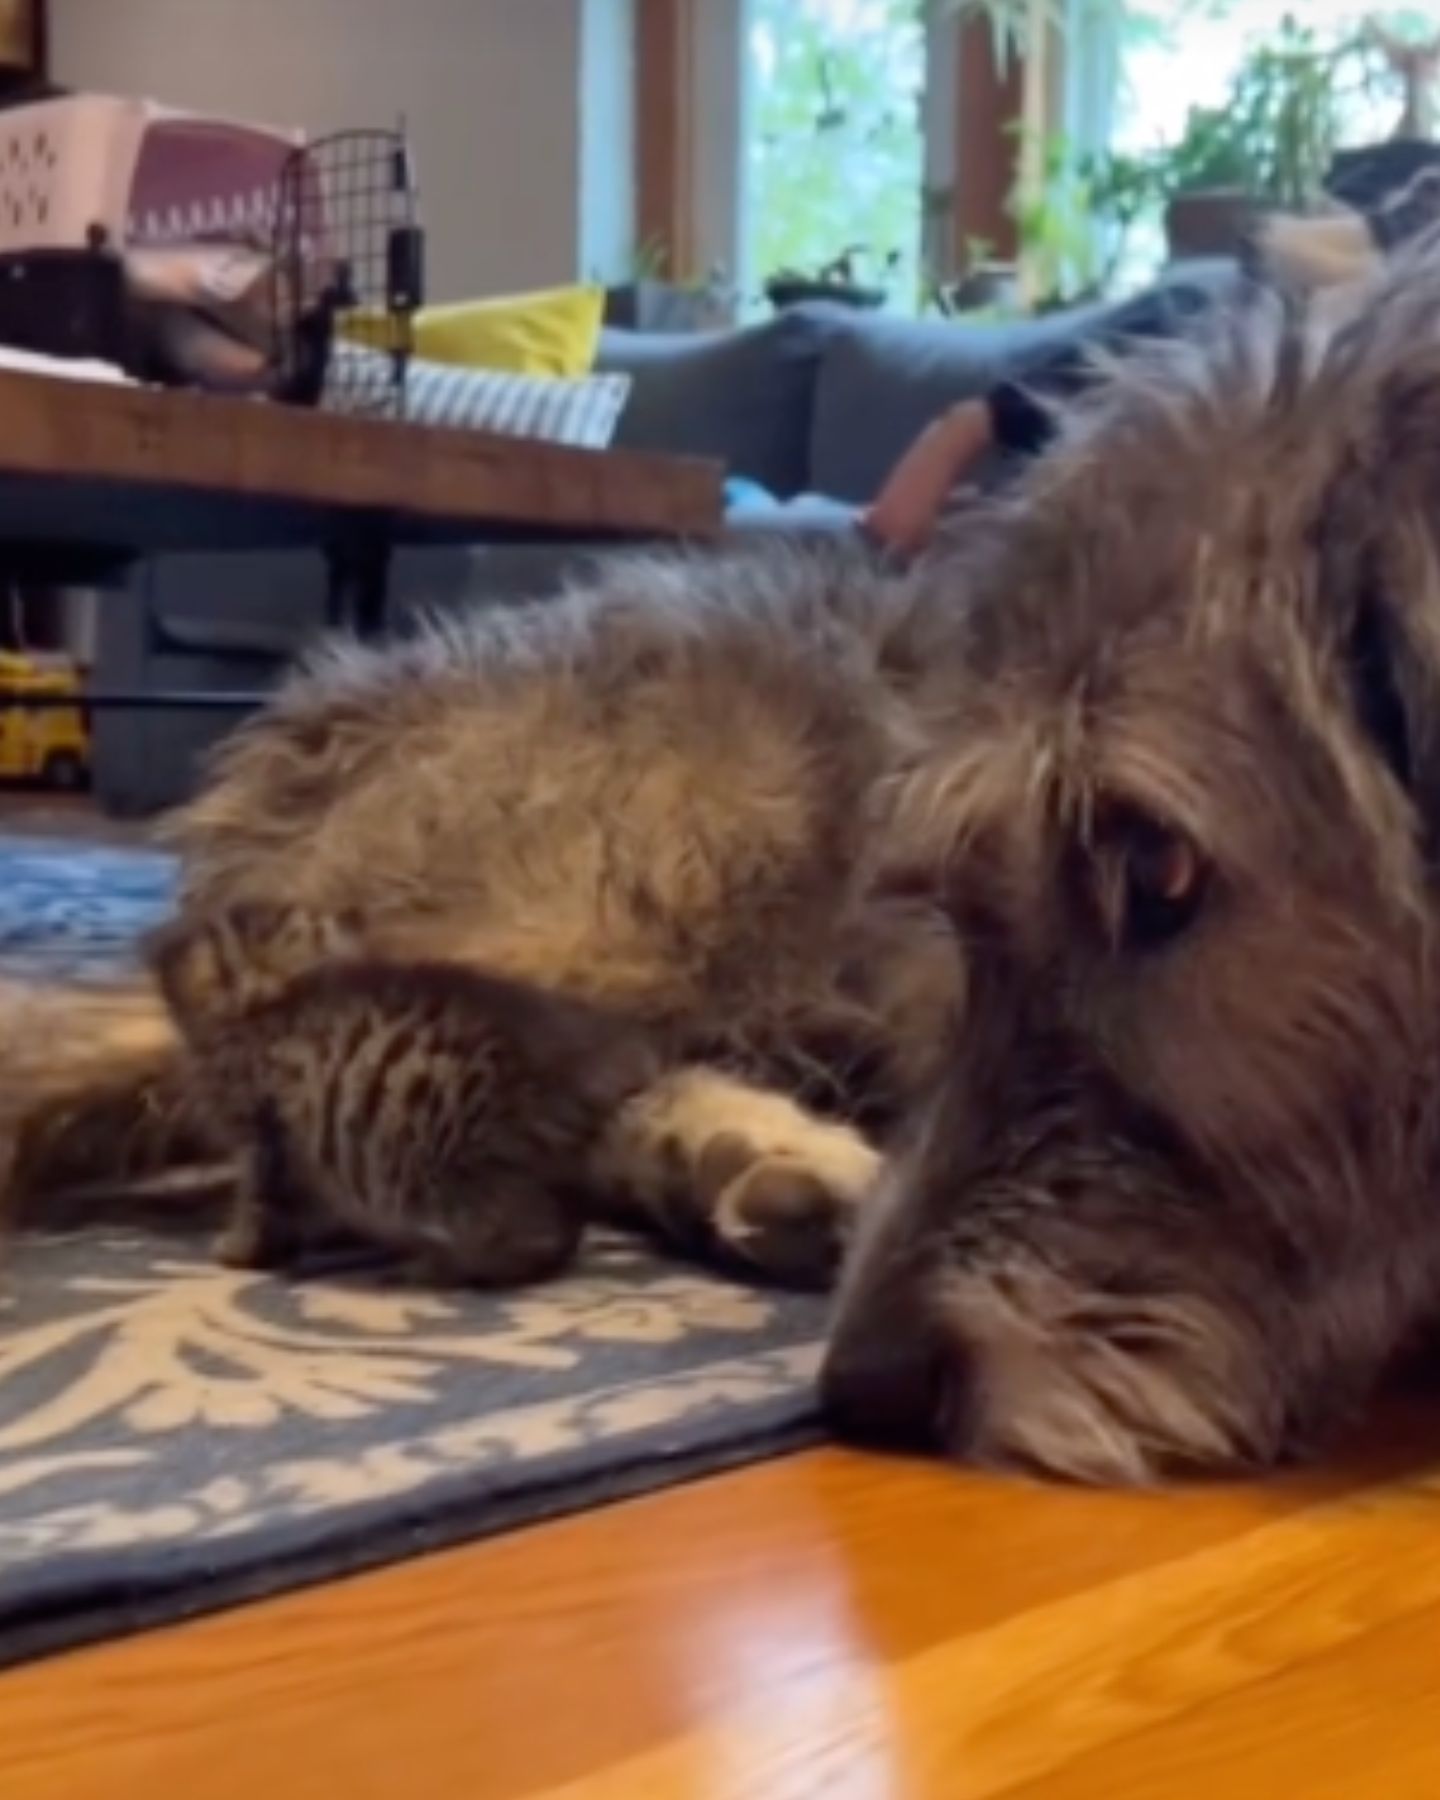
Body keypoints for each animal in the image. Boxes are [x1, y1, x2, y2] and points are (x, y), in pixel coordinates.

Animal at [143, 907, 662, 1288]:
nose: (156, 941)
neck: (273, 1003)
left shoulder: (260, 1132)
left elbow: (254, 1201)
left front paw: (239, 1250)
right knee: (565, 1229)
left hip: (437, 1165)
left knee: (529, 1235)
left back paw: (437, 1267)